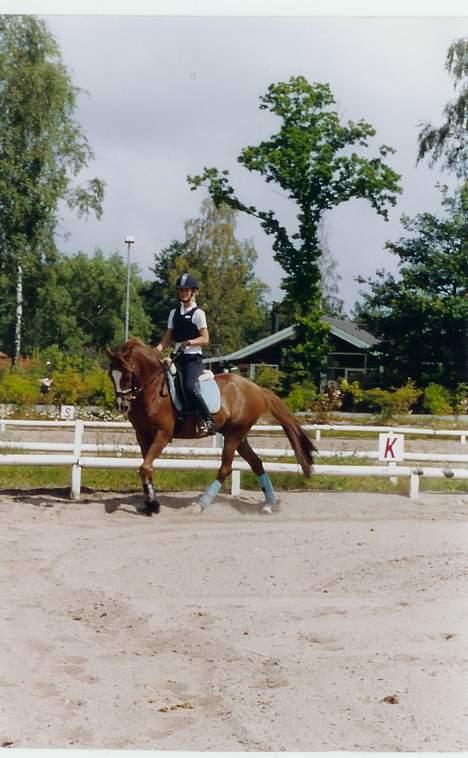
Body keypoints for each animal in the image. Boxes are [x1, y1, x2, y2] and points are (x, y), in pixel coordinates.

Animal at [108, 338, 316, 516]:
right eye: (111, 375)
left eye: (127, 375)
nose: (122, 406)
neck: (152, 391)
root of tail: (257, 389)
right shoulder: (142, 434)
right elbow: (147, 467)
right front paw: (151, 503)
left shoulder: (163, 434)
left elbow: (145, 468)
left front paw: (152, 504)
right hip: (238, 436)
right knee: (256, 463)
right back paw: (268, 505)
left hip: (234, 436)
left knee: (225, 469)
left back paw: (200, 505)